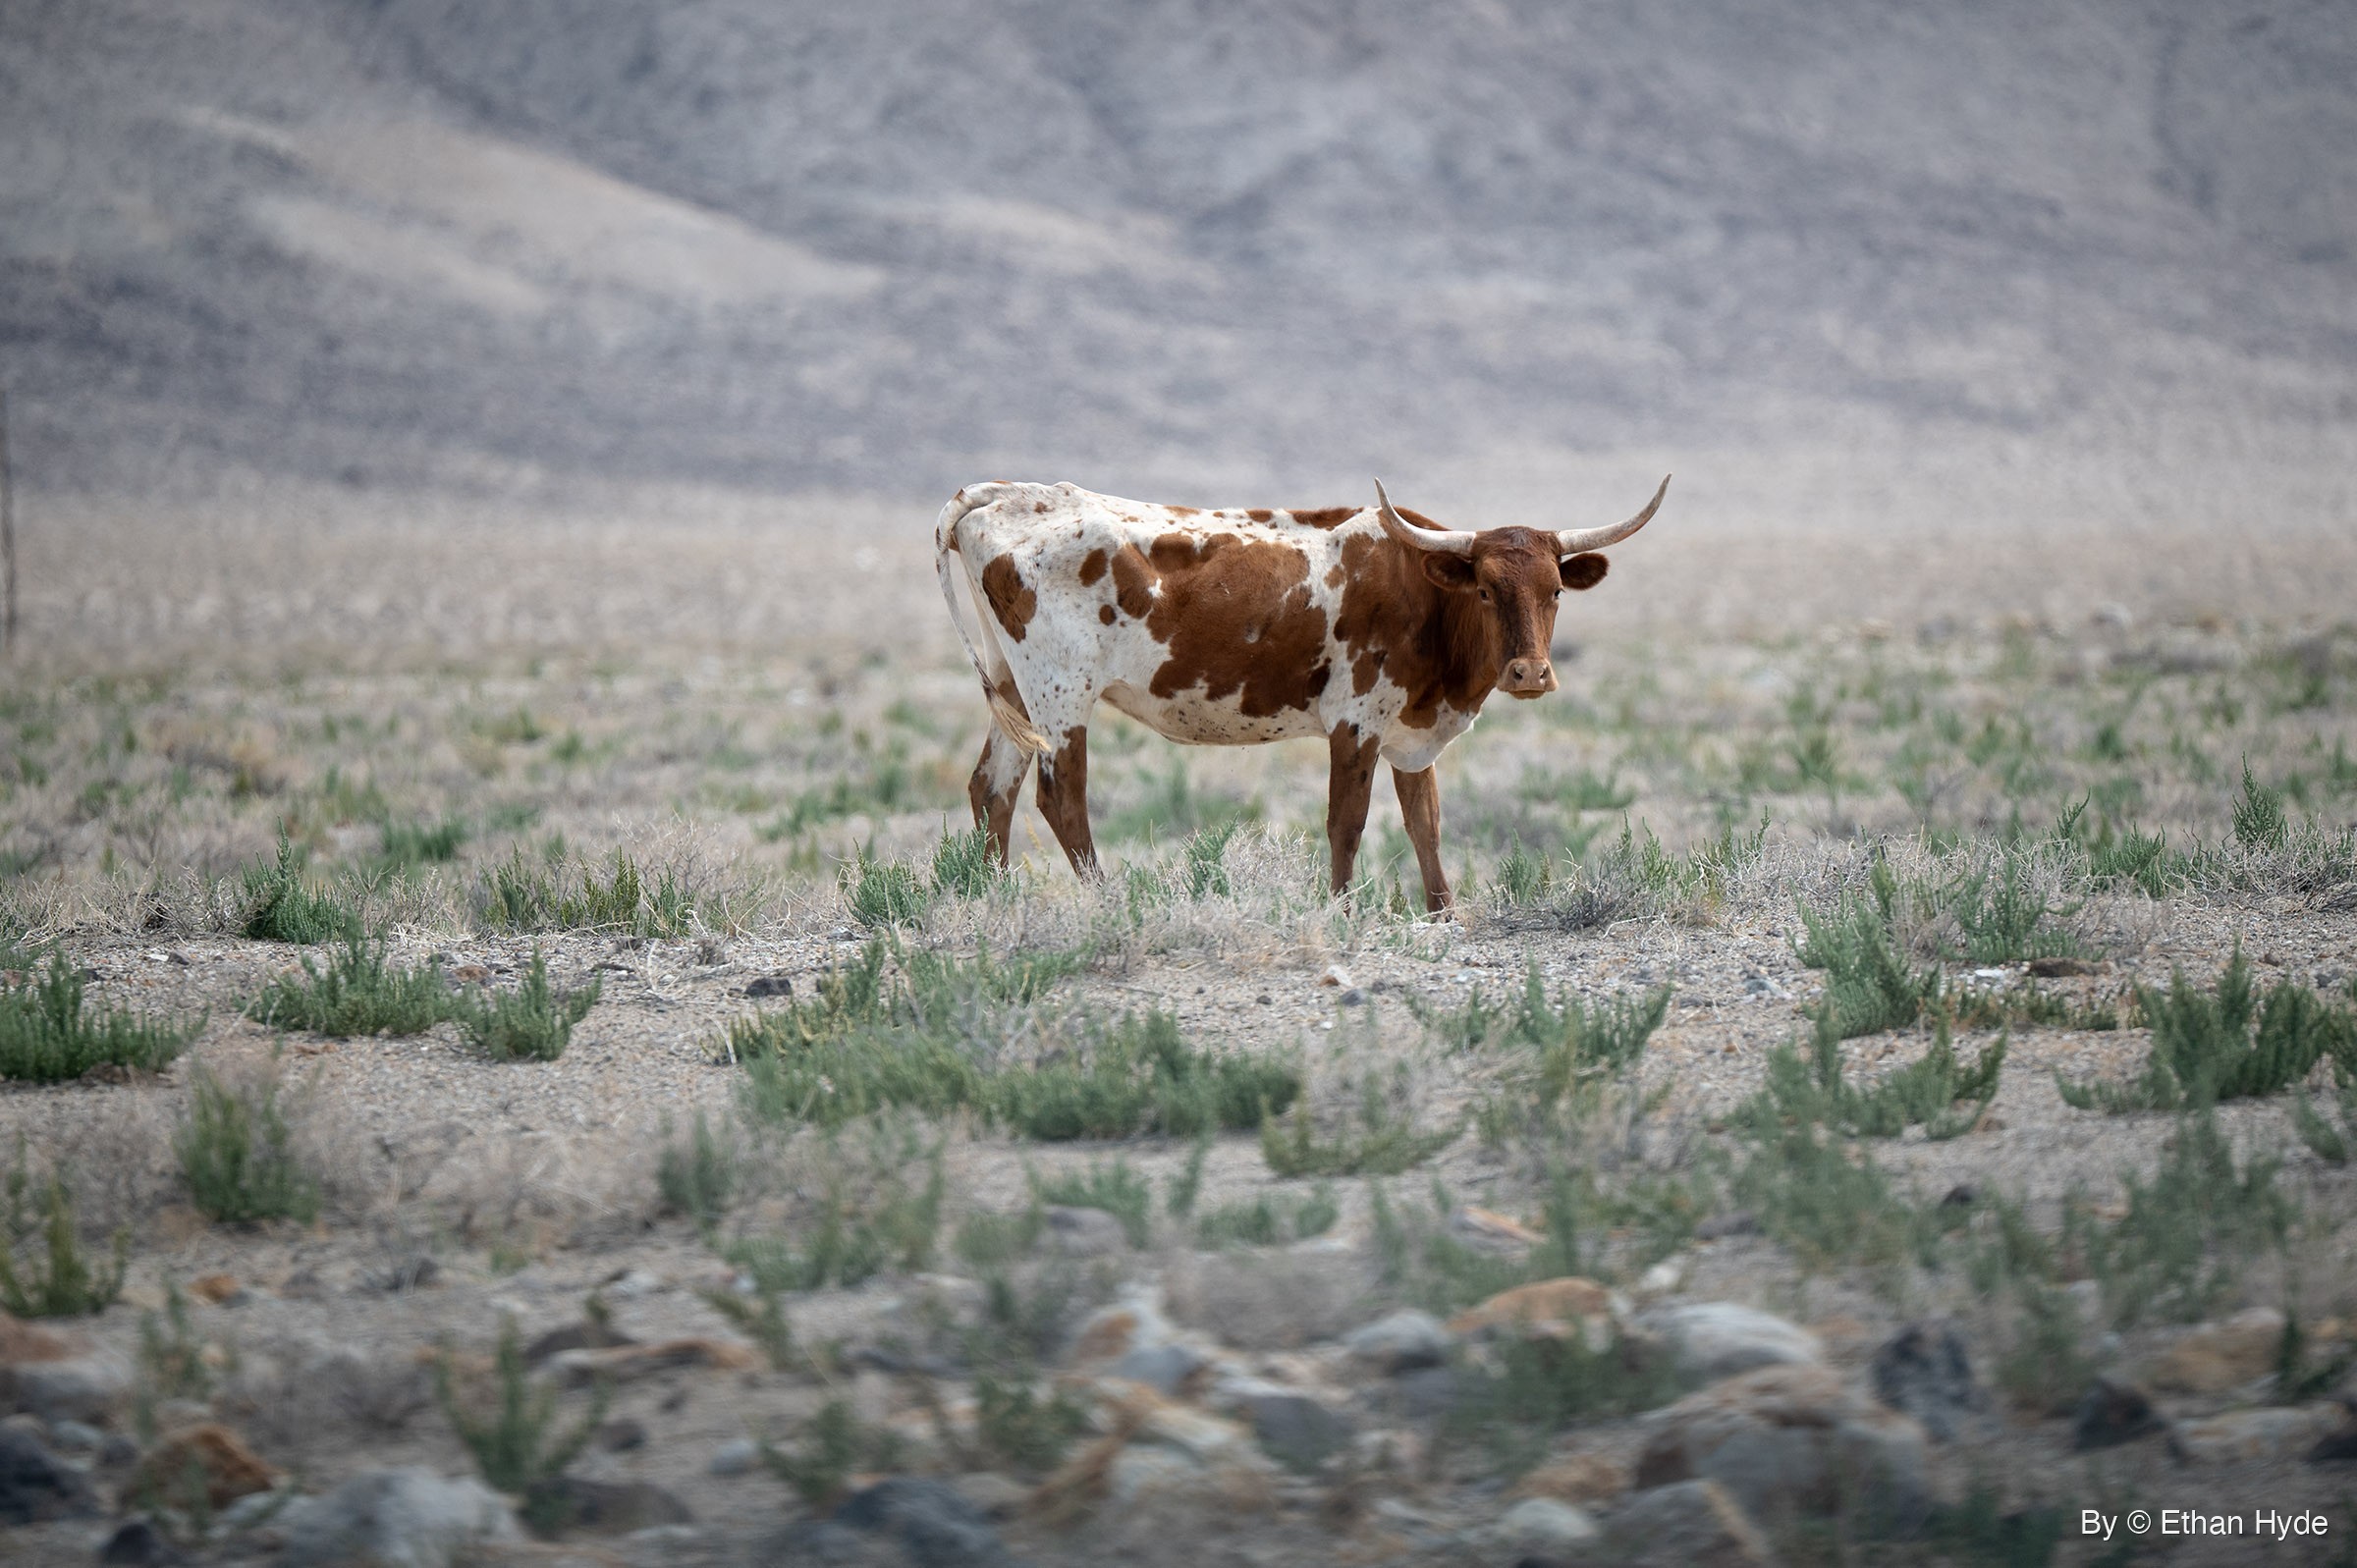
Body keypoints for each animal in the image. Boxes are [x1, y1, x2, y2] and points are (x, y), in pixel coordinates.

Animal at [934, 475, 1668, 913]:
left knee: (991, 789)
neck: (1426, 595)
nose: (1530, 673)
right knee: (1061, 797)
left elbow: (1425, 823)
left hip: (1014, 687)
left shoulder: (1411, 736)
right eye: (1486, 589)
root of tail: (1003, 493)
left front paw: (1443, 912)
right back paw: (1108, 902)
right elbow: (1347, 821)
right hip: (1062, 693)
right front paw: (1340, 909)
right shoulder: (1357, 722)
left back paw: (993, 902)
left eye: (1556, 590)